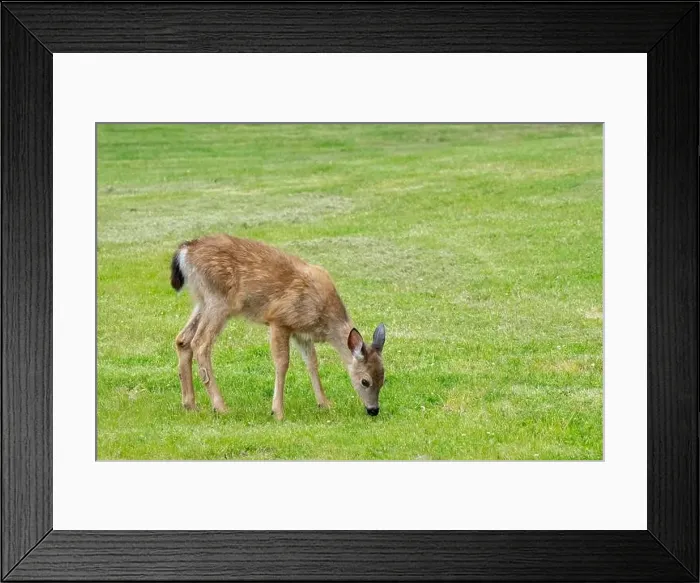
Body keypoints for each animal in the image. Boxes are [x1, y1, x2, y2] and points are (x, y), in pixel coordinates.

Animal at [170, 234, 386, 420]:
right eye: (365, 381)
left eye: (384, 379)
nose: (373, 410)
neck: (324, 318)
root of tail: (185, 251)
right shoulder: (280, 320)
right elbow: (282, 363)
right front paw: (277, 411)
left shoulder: (302, 333)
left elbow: (312, 363)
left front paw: (324, 404)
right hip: (218, 300)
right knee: (200, 343)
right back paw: (220, 406)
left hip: (202, 300)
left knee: (183, 339)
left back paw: (190, 405)